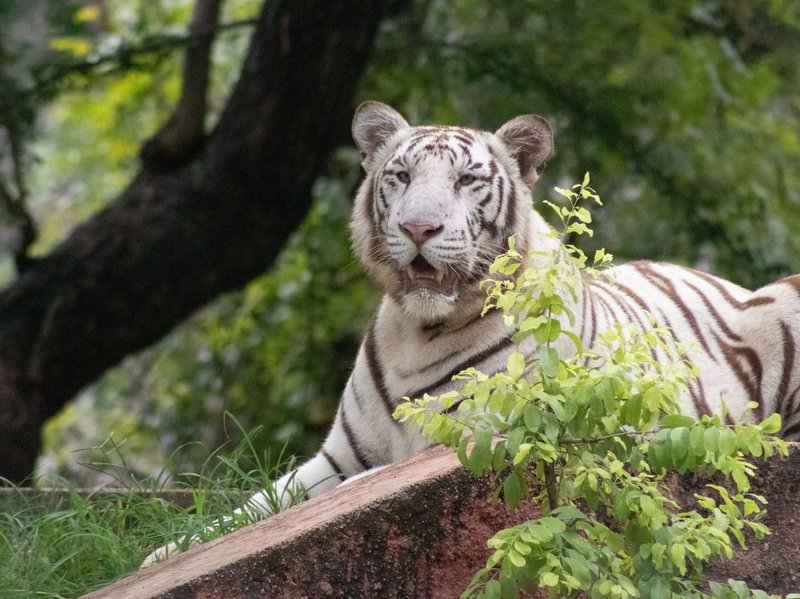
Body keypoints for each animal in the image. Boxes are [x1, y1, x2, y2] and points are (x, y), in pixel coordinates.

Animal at [142, 101, 800, 565]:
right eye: (401, 176)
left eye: (465, 181)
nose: (418, 227)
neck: (416, 329)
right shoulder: (340, 454)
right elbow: (254, 510)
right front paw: (162, 554)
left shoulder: (469, 439)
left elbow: (332, 501)